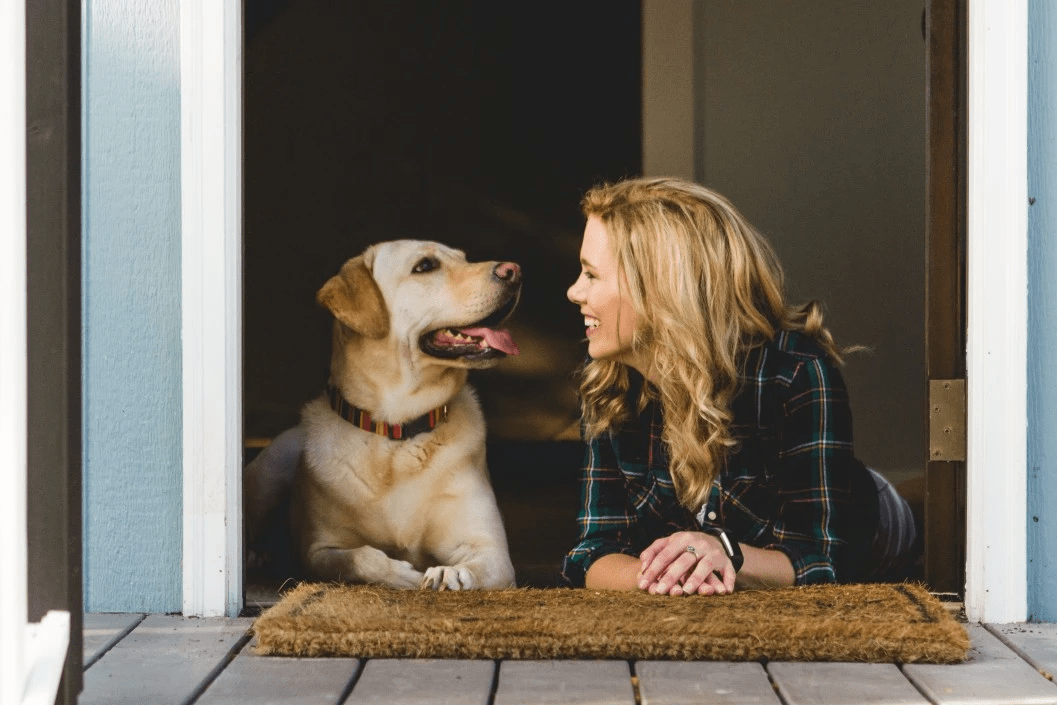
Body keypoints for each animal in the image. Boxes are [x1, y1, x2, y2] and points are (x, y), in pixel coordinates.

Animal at [243, 243, 515, 591]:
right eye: (425, 266)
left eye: (465, 258)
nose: (513, 271)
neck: (397, 434)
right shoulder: (318, 551)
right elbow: (362, 557)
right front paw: (403, 575)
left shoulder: (492, 551)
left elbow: (476, 564)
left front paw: (450, 573)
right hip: (269, 474)